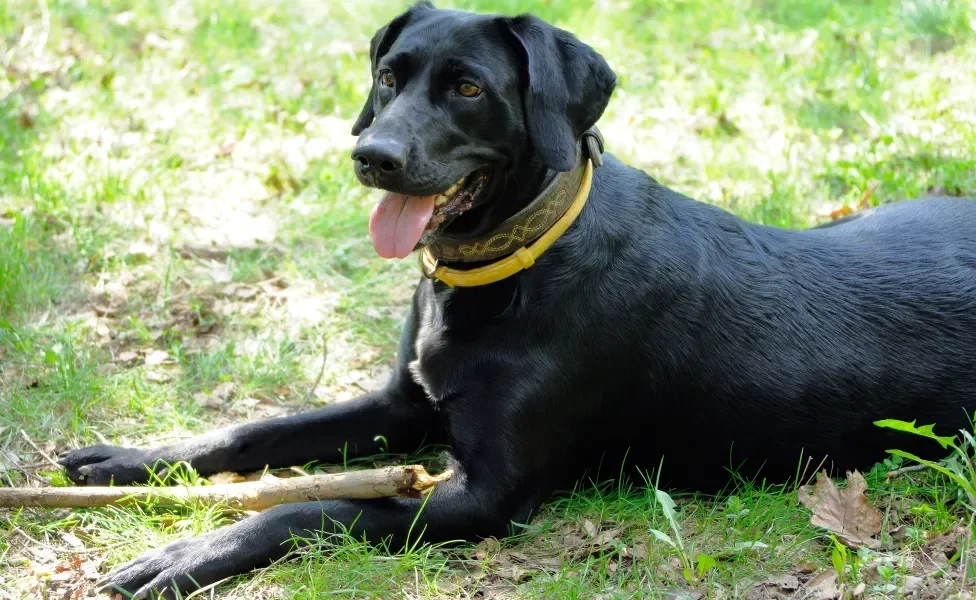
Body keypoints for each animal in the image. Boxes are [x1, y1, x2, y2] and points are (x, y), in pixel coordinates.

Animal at [59, 3, 976, 596]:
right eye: (387, 76)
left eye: (469, 89)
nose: (372, 156)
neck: (510, 264)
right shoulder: (403, 404)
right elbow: (255, 430)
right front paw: (131, 461)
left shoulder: (483, 494)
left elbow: (315, 508)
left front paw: (183, 554)